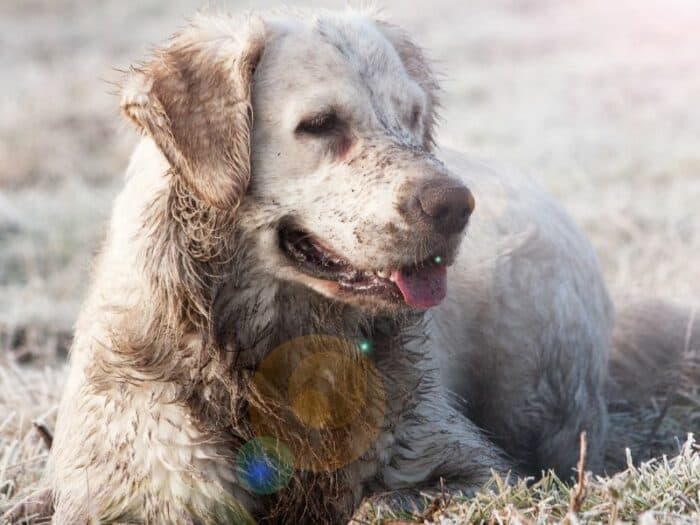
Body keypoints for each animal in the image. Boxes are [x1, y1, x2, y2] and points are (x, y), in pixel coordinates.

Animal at [5, 8, 696, 524]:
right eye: (320, 124)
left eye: (414, 117)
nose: (455, 206)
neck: (273, 347)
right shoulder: (140, 482)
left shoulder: (463, 464)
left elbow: (382, 503)